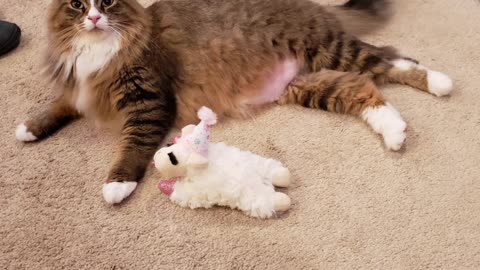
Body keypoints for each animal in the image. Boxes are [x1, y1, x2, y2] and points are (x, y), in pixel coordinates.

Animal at [15, 0, 454, 202]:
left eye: (107, 2)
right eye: (77, 4)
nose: (93, 18)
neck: (97, 51)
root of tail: (316, 7)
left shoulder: (148, 100)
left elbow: (133, 146)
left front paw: (117, 185)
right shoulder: (80, 88)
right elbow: (56, 106)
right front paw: (28, 127)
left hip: (331, 50)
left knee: (392, 60)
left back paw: (441, 82)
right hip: (308, 84)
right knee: (366, 89)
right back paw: (395, 132)